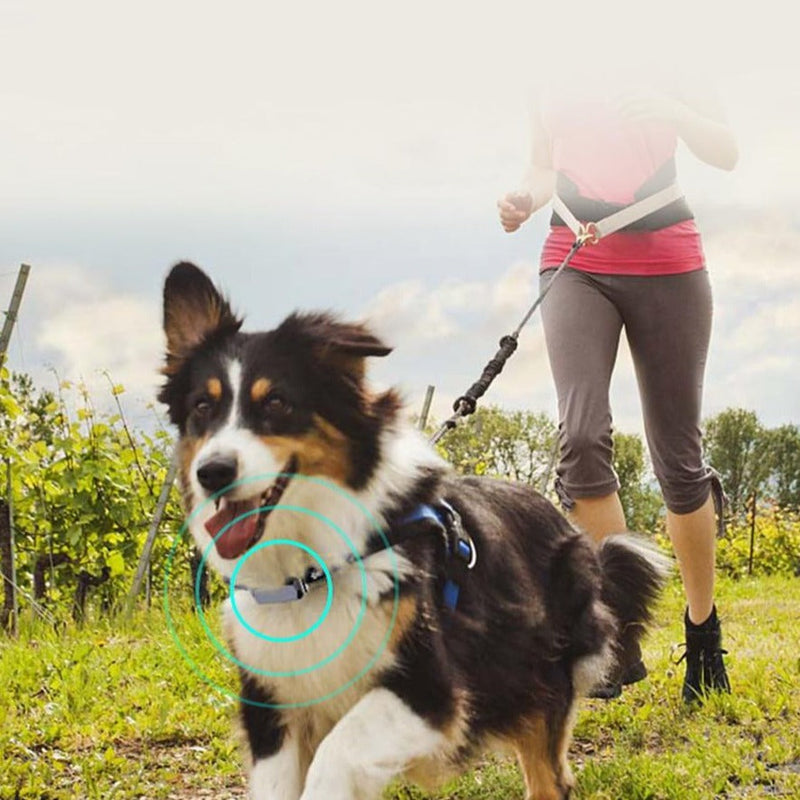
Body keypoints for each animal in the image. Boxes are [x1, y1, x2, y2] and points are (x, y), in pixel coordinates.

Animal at [158, 264, 668, 800]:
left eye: (276, 401)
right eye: (202, 407)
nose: (212, 473)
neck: (311, 574)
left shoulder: (431, 689)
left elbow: (338, 753)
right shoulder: (271, 704)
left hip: (532, 672)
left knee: (550, 778)